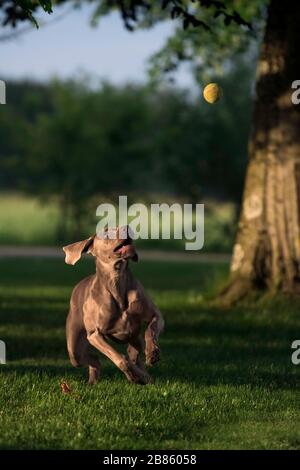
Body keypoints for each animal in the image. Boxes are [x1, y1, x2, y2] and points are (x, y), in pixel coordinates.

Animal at [62, 228, 164, 386]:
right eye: (106, 232)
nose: (127, 228)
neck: (117, 281)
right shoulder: (95, 335)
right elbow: (121, 359)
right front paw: (135, 376)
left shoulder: (155, 315)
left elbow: (150, 330)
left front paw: (152, 353)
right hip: (74, 349)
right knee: (93, 359)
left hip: (134, 337)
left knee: (133, 353)